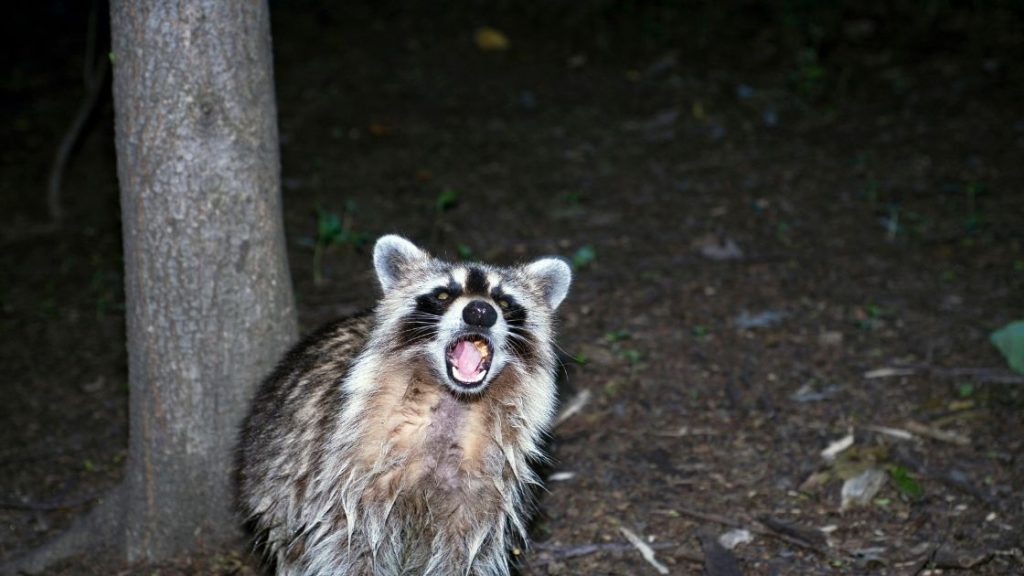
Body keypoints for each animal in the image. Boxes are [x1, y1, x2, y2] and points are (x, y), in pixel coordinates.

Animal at [237, 235, 572, 575]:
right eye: (442, 294)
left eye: (504, 302)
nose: (480, 311)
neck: (454, 400)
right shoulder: (350, 473)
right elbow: (347, 548)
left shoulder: (488, 486)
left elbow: (467, 555)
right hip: (276, 487)